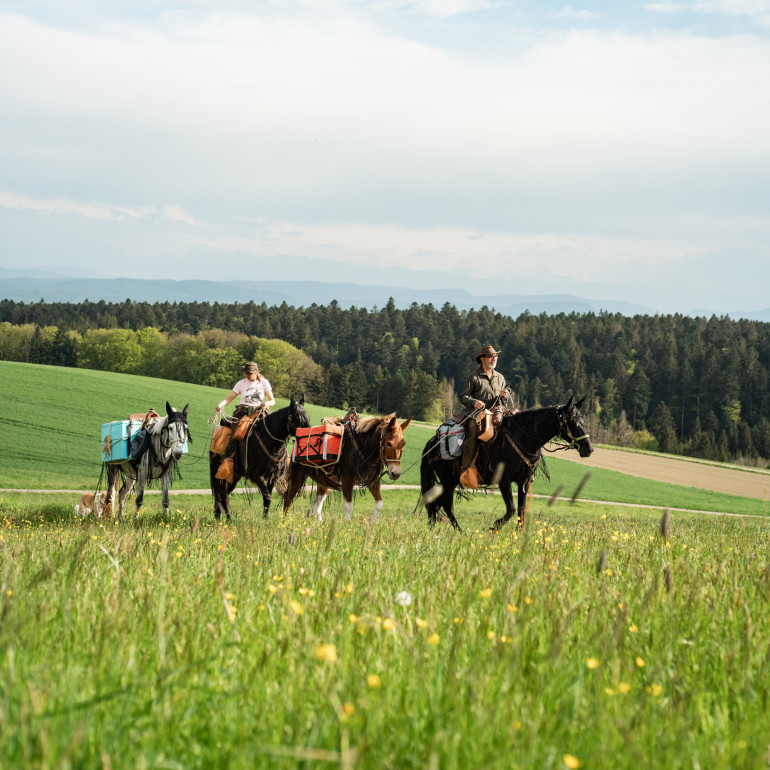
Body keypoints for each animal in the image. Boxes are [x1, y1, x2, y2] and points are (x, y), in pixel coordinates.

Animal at [210, 392, 308, 520]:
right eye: (297, 418)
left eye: (307, 419)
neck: (272, 443)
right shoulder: (256, 475)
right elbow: (267, 496)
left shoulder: (273, 477)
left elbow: (268, 498)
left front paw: (265, 519)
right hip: (220, 473)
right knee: (221, 493)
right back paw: (227, 518)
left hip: (235, 475)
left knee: (223, 493)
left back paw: (219, 517)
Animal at [282, 414, 412, 520]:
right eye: (389, 443)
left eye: (403, 443)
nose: (396, 473)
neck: (364, 450)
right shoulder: (347, 481)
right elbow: (348, 506)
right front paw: (347, 525)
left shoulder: (372, 482)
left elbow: (379, 504)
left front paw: (371, 522)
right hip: (297, 477)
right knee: (288, 499)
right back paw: (284, 522)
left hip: (324, 483)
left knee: (316, 506)